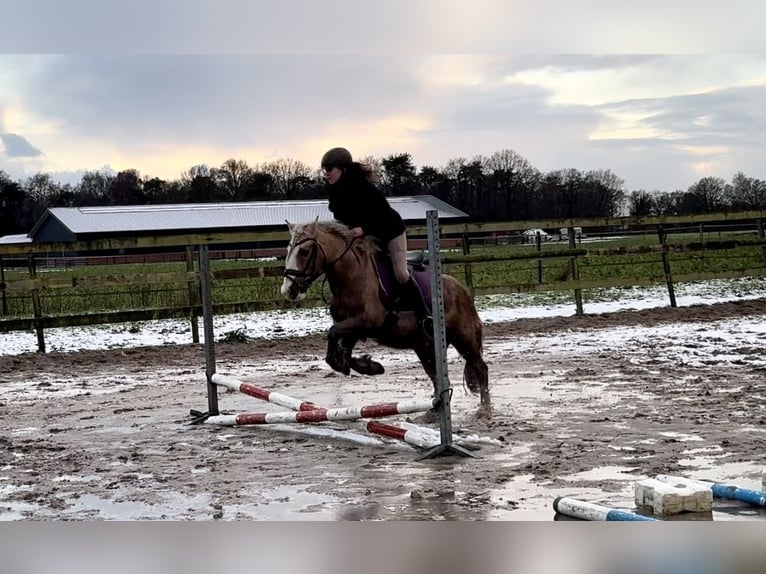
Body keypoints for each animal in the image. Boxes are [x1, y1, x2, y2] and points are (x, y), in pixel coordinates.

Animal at [280, 219, 490, 413]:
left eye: (304, 251)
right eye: (288, 249)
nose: (288, 290)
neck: (352, 277)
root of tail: (461, 290)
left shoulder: (367, 322)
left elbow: (333, 333)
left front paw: (365, 365)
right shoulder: (351, 328)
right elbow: (338, 352)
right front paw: (366, 366)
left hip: (464, 338)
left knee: (480, 369)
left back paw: (485, 408)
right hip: (425, 347)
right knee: (436, 375)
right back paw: (436, 408)